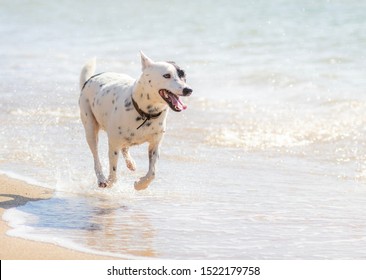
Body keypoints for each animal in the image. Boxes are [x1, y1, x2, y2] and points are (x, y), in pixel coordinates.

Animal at [77, 51, 192, 189]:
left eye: (183, 75)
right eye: (167, 75)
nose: (188, 89)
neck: (146, 113)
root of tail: (91, 78)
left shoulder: (155, 144)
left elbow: (152, 173)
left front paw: (140, 185)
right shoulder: (114, 144)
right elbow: (113, 174)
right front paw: (110, 182)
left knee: (125, 148)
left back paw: (130, 163)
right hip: (90, 127)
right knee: (96, 156)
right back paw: (101, 179)